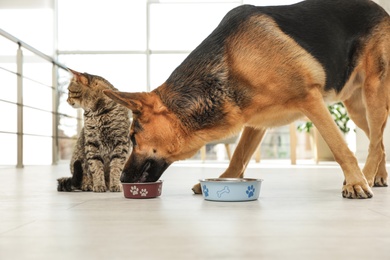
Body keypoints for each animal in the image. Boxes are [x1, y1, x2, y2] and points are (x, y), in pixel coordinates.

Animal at [103, 0, 390, 199]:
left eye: (133, 138)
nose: (122, 178)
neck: (231, 61)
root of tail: (380, 9)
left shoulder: (310, 100)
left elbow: (340, 147)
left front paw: (355, 182)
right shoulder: (255, 121)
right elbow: (238, 157)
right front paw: (224, 180)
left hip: (373, 93)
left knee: (375, 143)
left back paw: (363, 178)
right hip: (355, 108)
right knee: (378, 141)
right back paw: (378, 176)